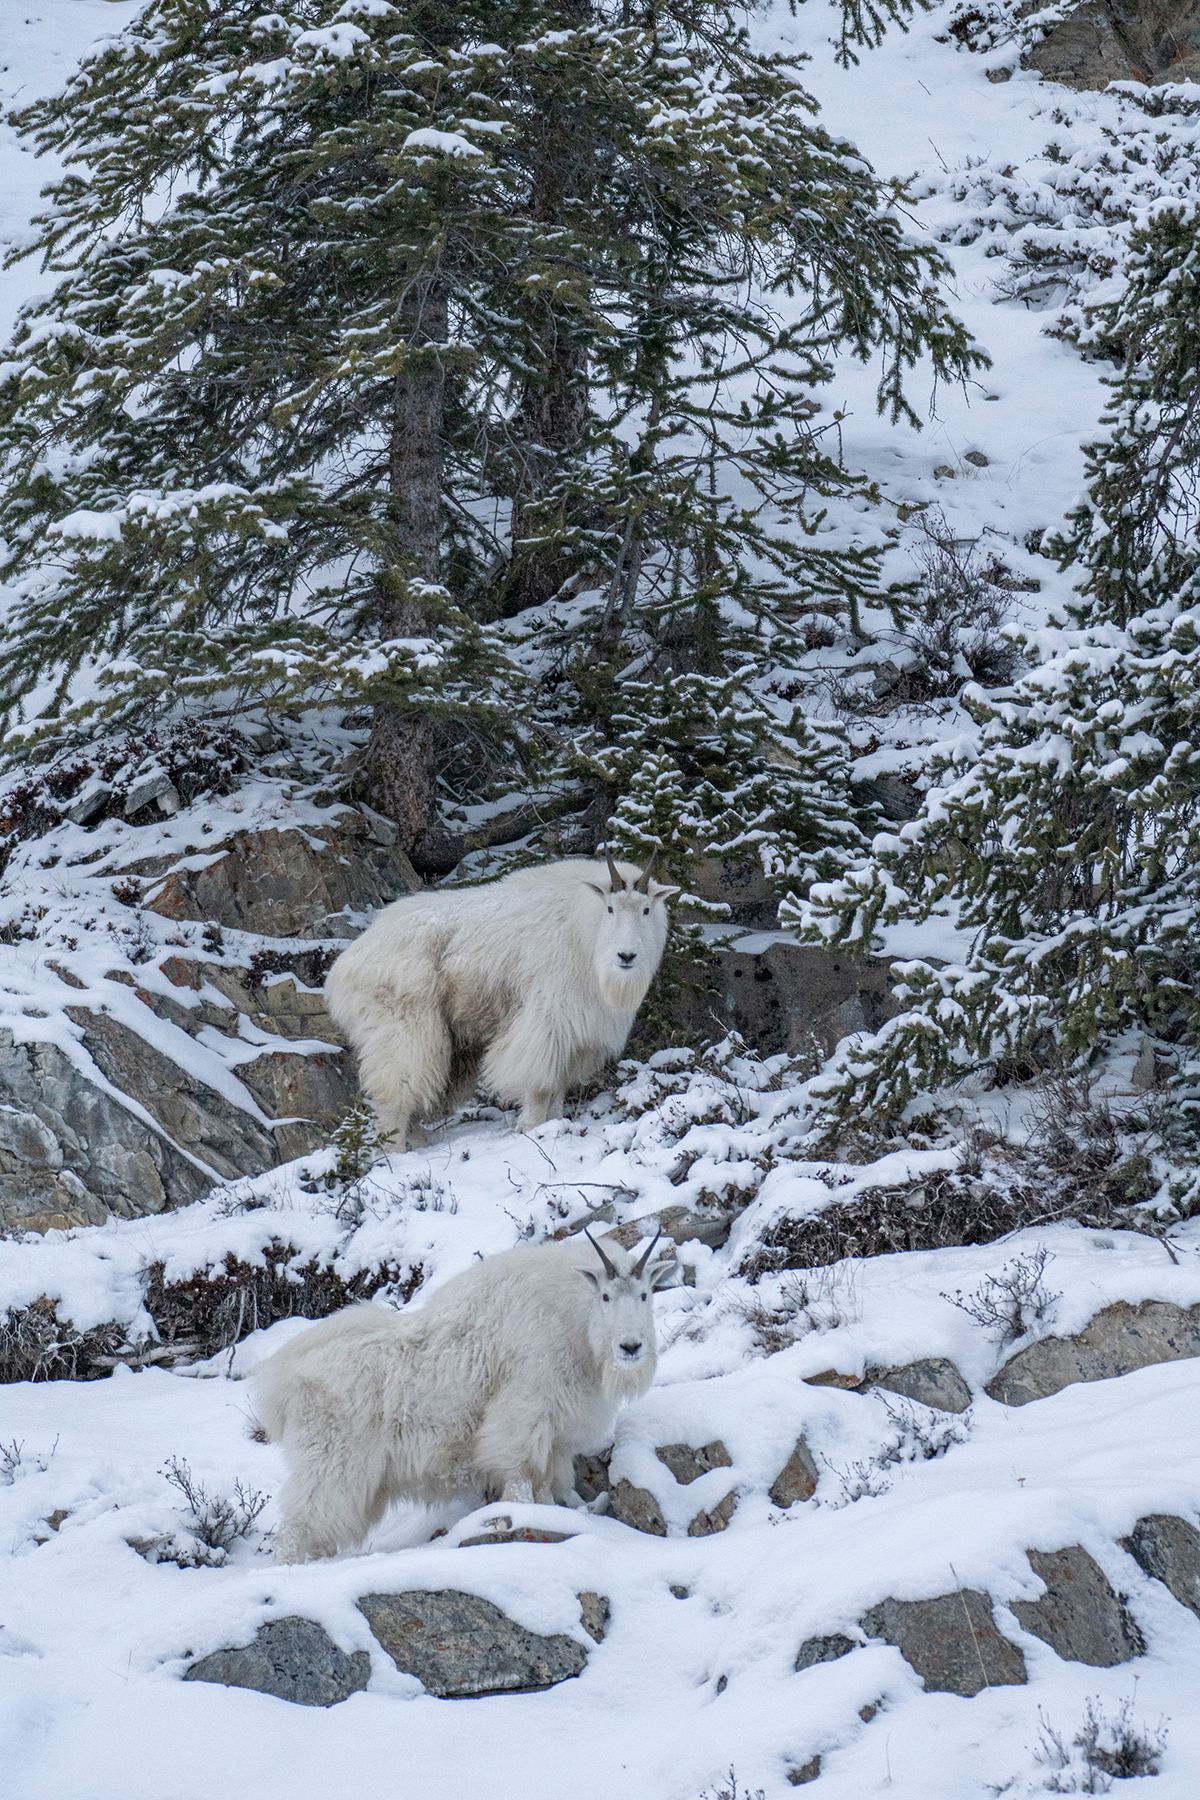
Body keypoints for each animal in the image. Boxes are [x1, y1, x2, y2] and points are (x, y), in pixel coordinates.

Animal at [254, 1228, 675, 1561]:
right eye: (605, 1296)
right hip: (330, 1463)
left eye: (645, 1294)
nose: (631, 1347)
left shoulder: (557, 1435)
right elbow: (521, 1480)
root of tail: (280, 1381)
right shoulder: (522, 1416)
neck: (574, 1321)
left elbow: (550, 1488)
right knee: (297, 1525)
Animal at [325, 852, 677, 1145]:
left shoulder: (577, 1034)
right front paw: (530, 1128)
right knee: (395, 1092)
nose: (626, 956)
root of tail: (345, 965)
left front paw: (555, 1123)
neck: (583, 928)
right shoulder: (546, 1020)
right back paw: (396, 1151)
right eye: (610, 908)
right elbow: (539, 1084)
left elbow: (558, 1087)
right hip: (401, 1027)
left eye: (646, 909)